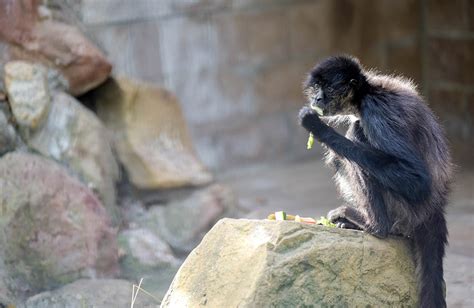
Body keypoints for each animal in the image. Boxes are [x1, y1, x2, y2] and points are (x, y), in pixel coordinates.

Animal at [300, 56, 452, 308]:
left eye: (328, 89)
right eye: (316, 87)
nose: (317, 99)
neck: (367, 93)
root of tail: (434, 210)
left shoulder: (376, 111)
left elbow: (416, 181)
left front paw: (318, 128)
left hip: (405, 210)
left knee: (356, 131)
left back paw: (375, 226)